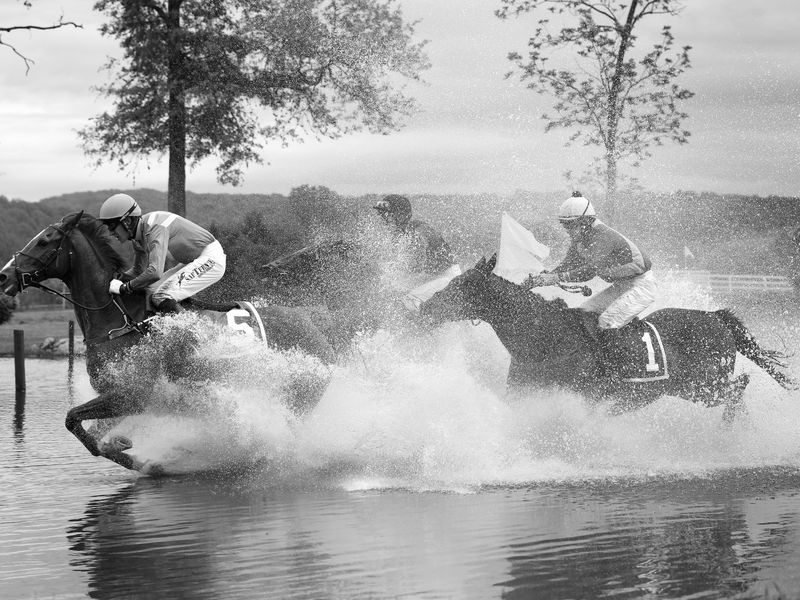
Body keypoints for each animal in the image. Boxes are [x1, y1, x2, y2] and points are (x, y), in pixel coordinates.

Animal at [0, 213, 340, 472]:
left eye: (44, 240)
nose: (4, 276)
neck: (118, 320)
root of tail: (313, 322)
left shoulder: (132, 393)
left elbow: (73, 420)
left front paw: (130, 454)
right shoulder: (120, 397)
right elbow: (90, 437)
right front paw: (128, 452)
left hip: (297, 393)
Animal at [418, 254, 792, 418]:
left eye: (462, 286)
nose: (425, 308)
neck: (546, 339)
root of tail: (715, 317)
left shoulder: (583, 397)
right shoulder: (523, 393)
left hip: (704, 385)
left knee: (739, 387)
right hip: (686, 389)